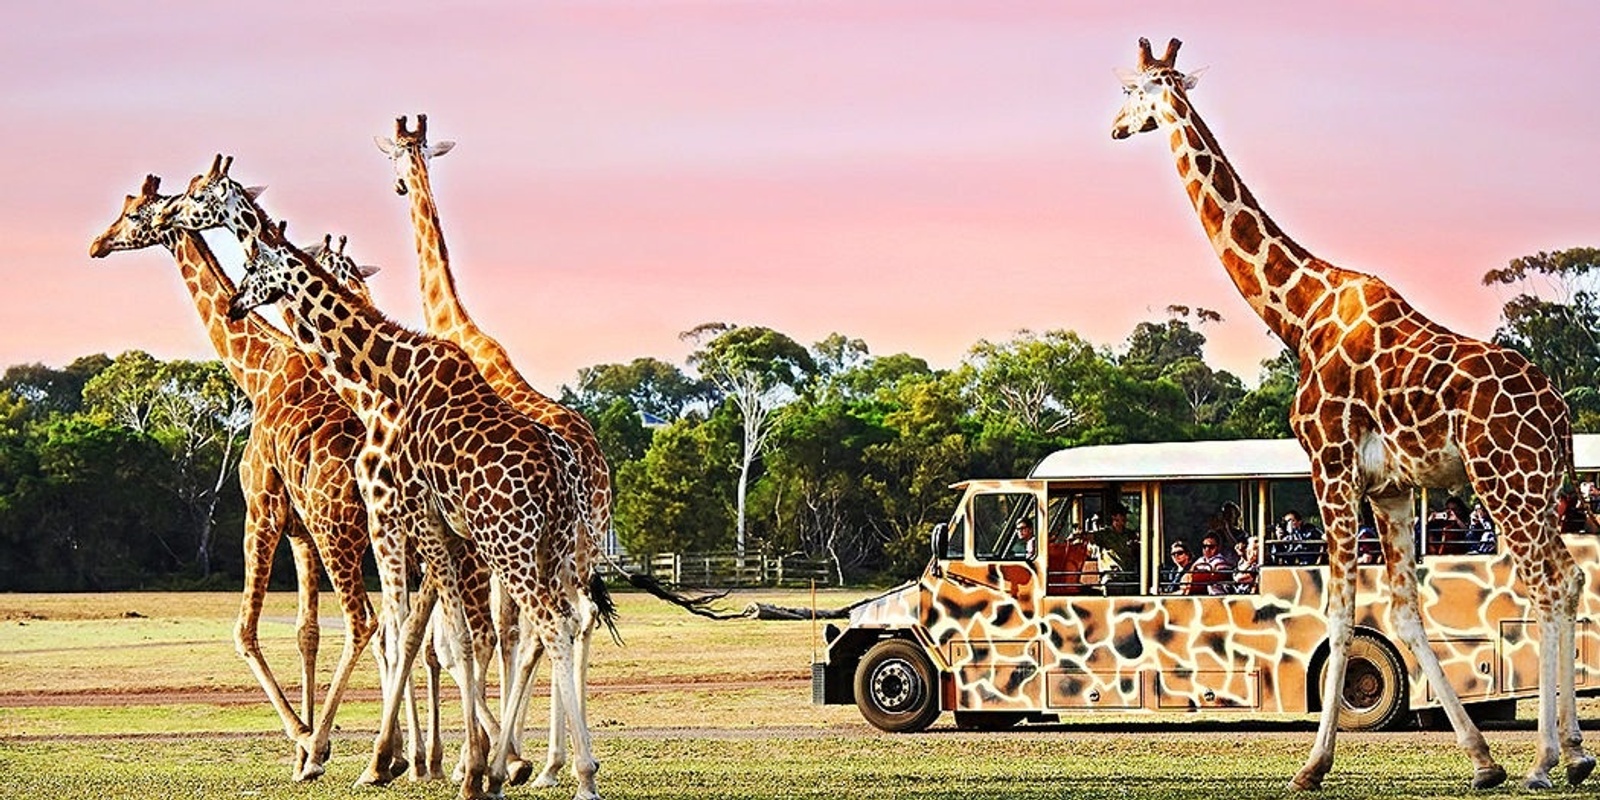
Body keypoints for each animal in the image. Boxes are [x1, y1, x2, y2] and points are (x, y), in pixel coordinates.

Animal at [90, 175, 374, 780]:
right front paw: (304, 752)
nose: (98, 243)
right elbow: (306, 631)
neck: (258, 370)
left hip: (341, 529)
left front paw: (308, 743)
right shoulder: (298, 530)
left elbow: (244, 631)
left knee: (369, 622)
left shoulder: (261, 509)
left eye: (133, 213)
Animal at [160, 160, 611, 800]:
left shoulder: (396, 514)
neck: (384, 379)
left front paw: (392, 762)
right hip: (557, 546)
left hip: (506, 544)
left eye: (200, 194)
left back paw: (562, 773)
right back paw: (535, 765)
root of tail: (567, 470)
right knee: (562, 623)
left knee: (539, 627)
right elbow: (434, 638)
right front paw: (453, 763)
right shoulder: (429, 527)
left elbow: (409, 634)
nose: (235, 305)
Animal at [1113, 36, 1587, 787]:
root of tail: (1560, 413)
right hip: (1539, 490)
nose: (1114, 127)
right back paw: (1573, 752)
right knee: (1568, 581)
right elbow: (1404, 611)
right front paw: (1482, 761)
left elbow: (1339, 613)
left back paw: (1545, 760)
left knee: (1544, 587)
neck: (1298, 311)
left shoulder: (1330, 464)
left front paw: (1312, 765)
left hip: (1504, 483)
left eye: (1133, 90)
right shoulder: (1391, 487)